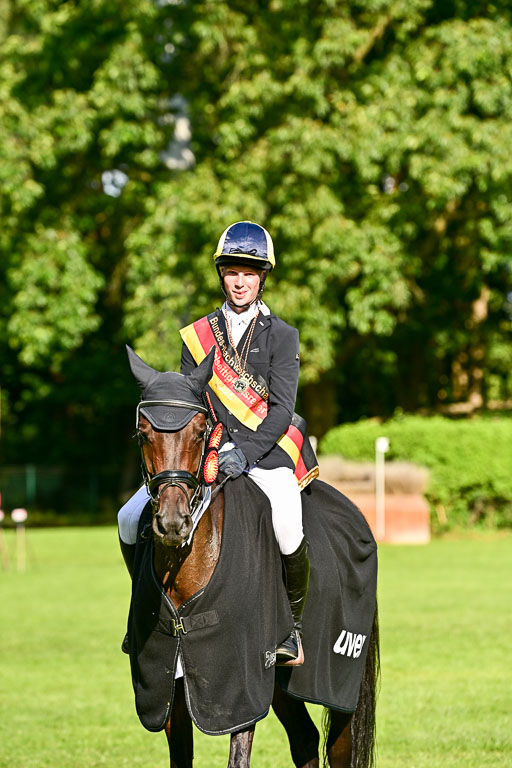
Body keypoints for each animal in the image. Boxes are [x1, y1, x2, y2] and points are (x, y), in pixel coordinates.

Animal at [125, 346, 379, 768]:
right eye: (143, 435)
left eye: (199, 431)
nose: (173, 523)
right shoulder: (170, 683)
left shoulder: (240, 687)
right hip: (278, 683)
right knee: (305, 740)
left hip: (338, 682)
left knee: (338, 747)